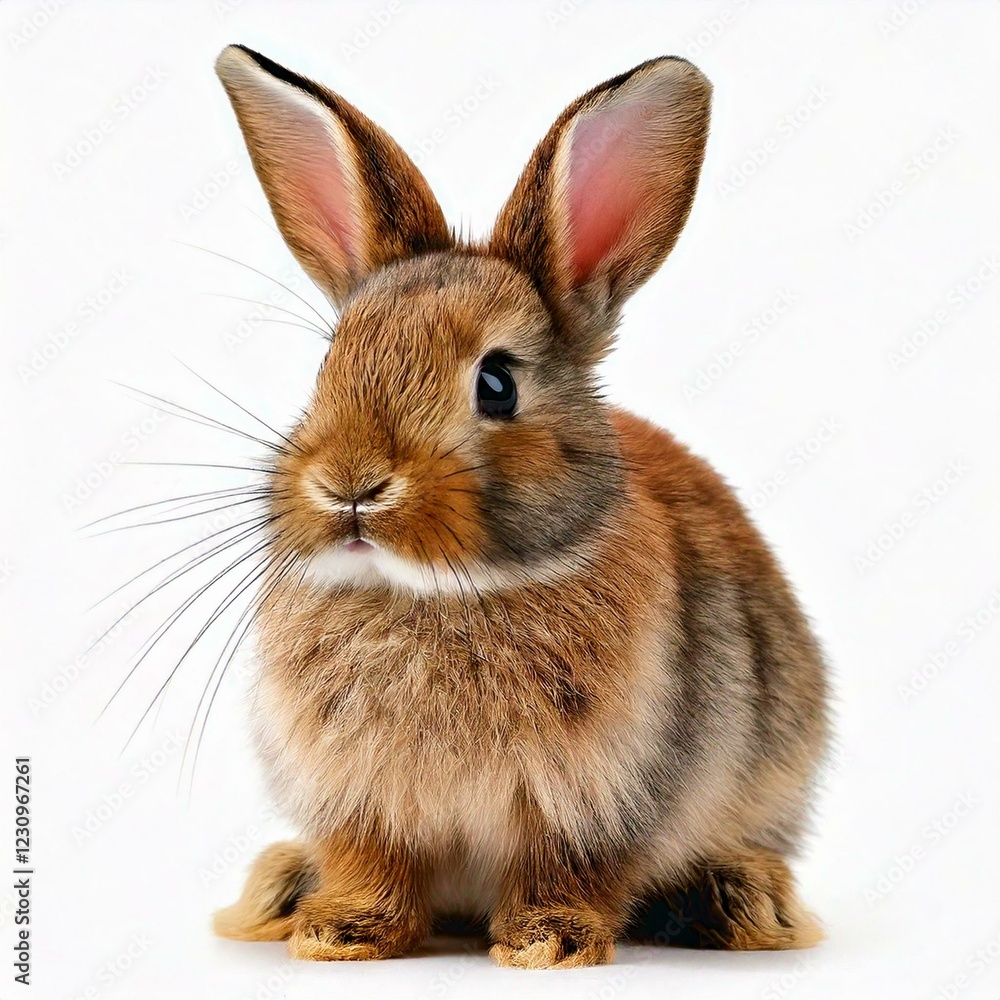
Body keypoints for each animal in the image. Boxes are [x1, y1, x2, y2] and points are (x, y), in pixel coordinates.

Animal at [210, 45, 830, 969]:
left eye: (496, 383)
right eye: (329, 363)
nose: (352, 484)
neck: (438, 593)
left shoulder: (600, 797)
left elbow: (568, 869)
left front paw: (547, 943)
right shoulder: (360, 803)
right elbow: (372, 864)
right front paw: (339, 931)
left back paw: (743, 900)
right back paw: (280, 889)